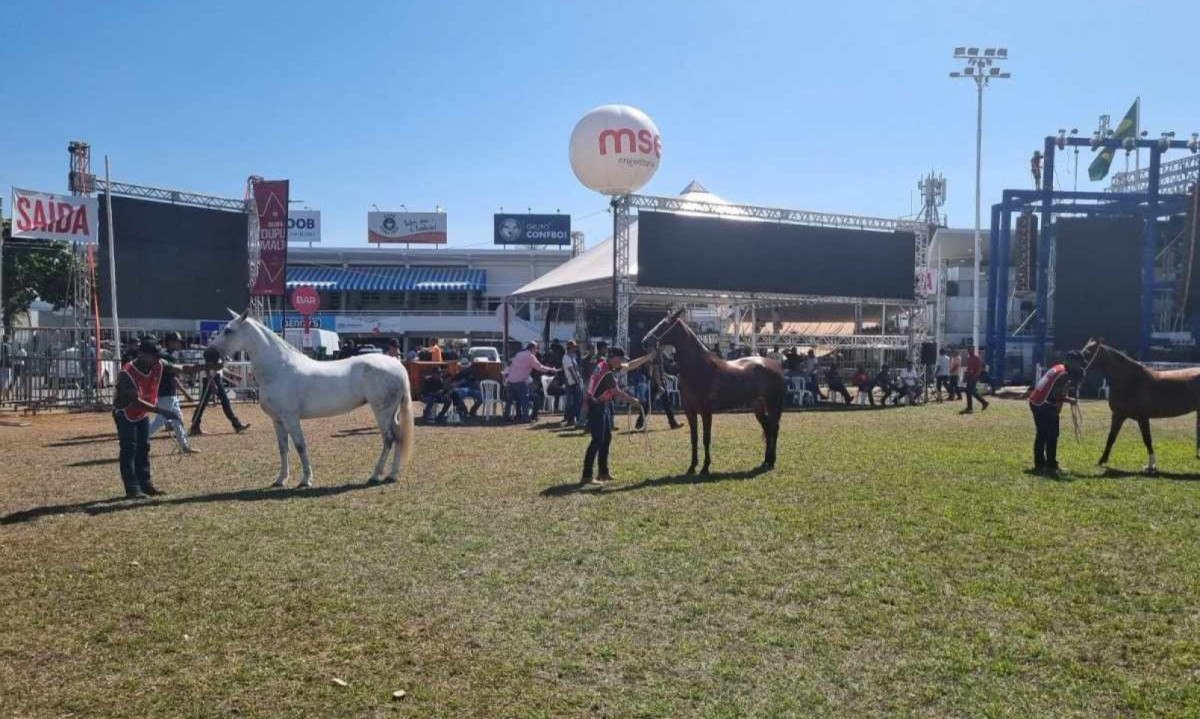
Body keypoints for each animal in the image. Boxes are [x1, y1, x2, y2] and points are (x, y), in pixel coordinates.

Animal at [204, 309, 415, 489]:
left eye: (228, 331)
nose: (208, 354)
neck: (279, 369)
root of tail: (397, 365)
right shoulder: (278, 420)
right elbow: (283, 448)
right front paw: (280, 479)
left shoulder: (290, 418)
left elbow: (300, 446)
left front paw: (306, 480)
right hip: (392, 412)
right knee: (398, 437)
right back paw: (392, 475)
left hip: (382, 411)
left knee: (389, 439)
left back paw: (375, 475)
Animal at [648, 307, 787, 472]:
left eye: (664, 325)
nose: (644, 341)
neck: (698, 367)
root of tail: (776, 365)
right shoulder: (690, 411)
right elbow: (694, 438)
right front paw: (692, 466)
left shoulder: (706, 411)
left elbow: (706, 438)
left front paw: (705, 467)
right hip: (758, 407)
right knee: (767, 429)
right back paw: (766, 460)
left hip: (773, 405)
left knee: (774, 429)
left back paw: (772, 461)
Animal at [1084, 338, 1200, 472]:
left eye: (1088, 352)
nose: (1083, 372)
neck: (1130, 380)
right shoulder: (1118, 415)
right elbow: (1111, 437)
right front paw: (1102, 460)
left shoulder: (1142, 417)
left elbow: (1147, 439)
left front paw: (1151, 465)